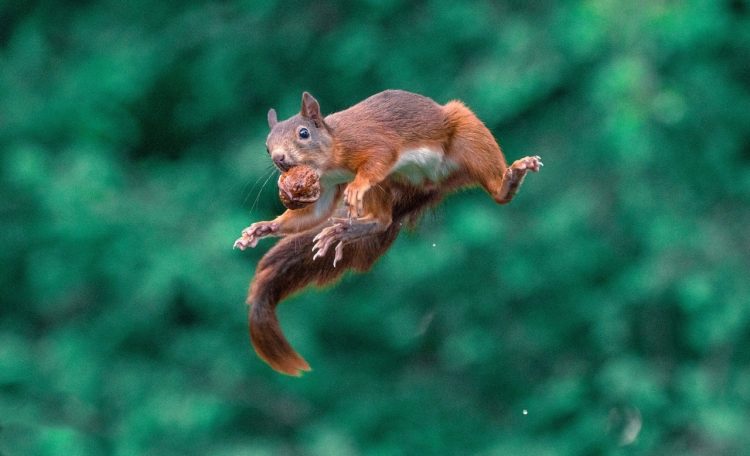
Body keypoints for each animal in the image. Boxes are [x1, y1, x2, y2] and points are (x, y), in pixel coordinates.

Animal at [235, 91, 540, 376]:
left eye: (303, 133)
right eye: (266, 146)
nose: (279, 159)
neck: (330, 157)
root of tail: (435, 183)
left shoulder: (369, 142)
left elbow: (380, 155)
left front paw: (357, 185)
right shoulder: (326, 187)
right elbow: (315, 213)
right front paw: (264, 227)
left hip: (466, 135)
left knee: (494, 187)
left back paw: (509, 180)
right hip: (389, 183)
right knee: (382, 220)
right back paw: (348, 229)